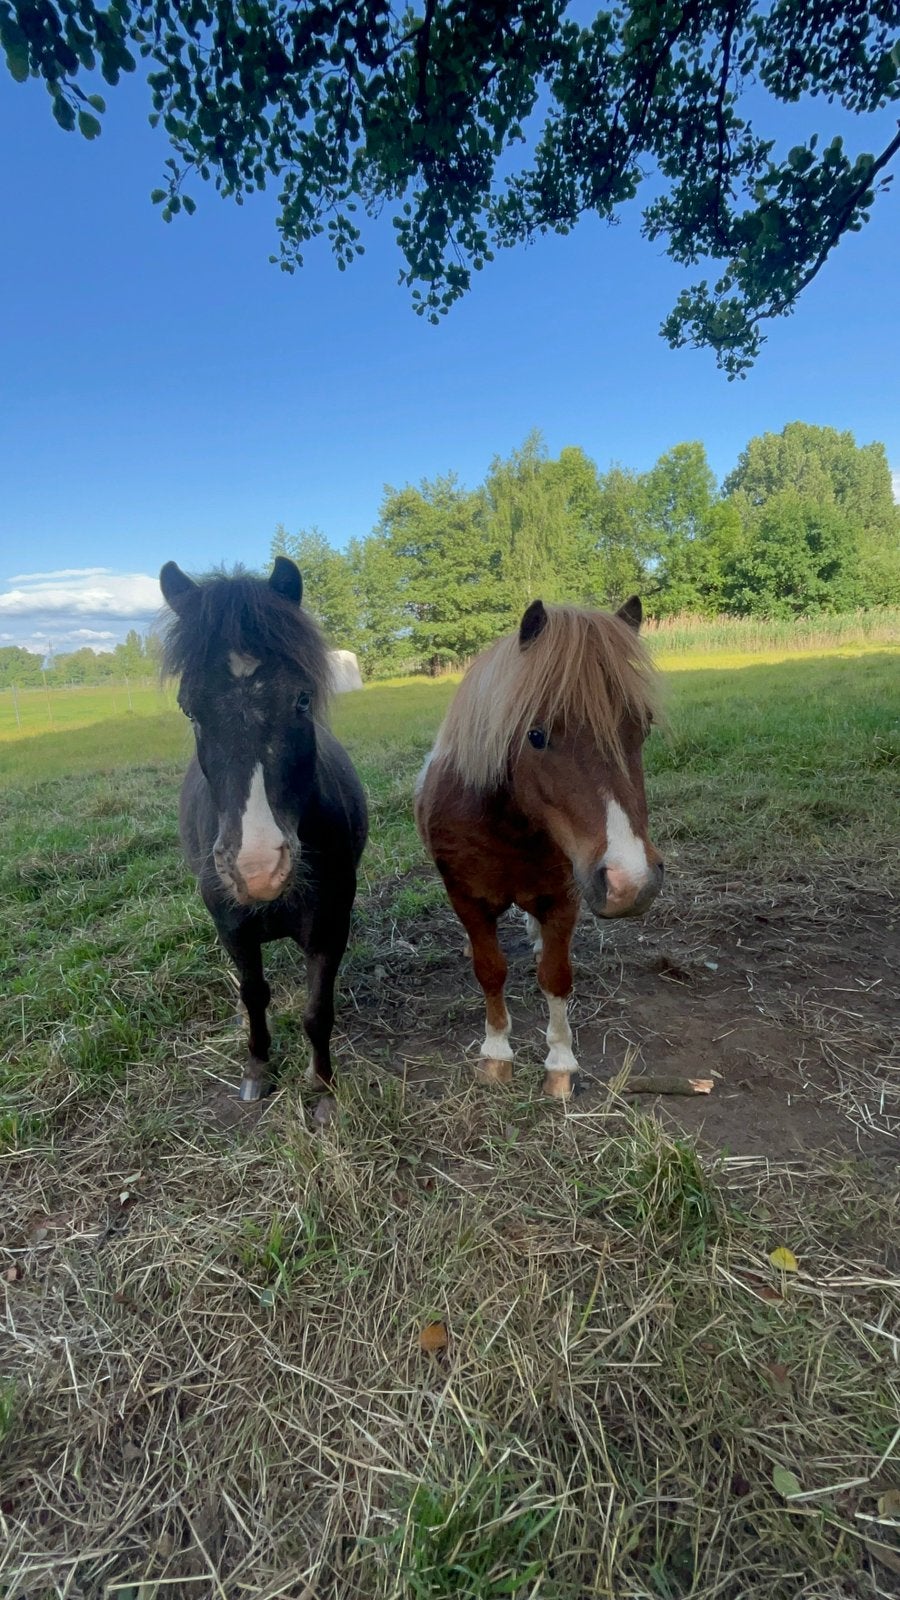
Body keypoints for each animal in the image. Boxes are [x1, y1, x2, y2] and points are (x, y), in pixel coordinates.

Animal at [160, 557, 368, 1103]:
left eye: (302, 700)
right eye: (190, 709)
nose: (256, 870)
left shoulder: (328, 926)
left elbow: (317, 1010)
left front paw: (322, 1086)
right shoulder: (231, 927)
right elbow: (254, 993)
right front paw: (257, 1068)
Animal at [415, 596, 662, 1100]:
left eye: (642, 727)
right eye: (536, 735)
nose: (631, 883)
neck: (506, 827)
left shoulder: (562, 898)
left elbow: (555, 976)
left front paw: (560, 1062)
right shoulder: (467, 900)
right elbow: (490, 970)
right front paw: (496, 1053)